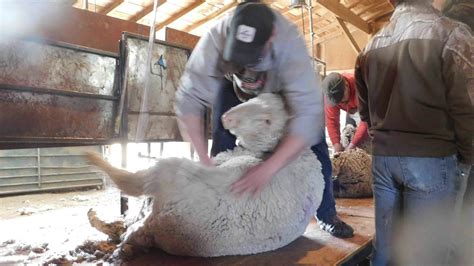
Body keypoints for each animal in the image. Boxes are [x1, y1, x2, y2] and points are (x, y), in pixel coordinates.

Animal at [86, 93, 326, 258]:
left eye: (267, 120)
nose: (227, 118)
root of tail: (158, 223)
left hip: (169, 172)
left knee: (131, 192)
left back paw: (95, 163)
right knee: (126, 226)